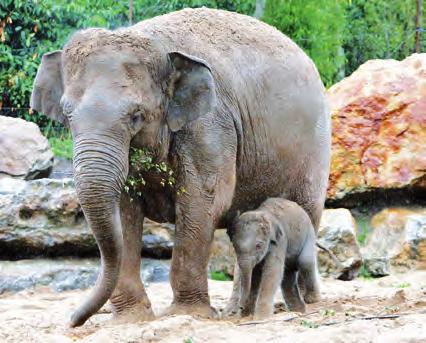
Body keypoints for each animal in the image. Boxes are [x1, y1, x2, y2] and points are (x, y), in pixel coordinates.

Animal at [30, 8, 330, 328]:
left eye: (137, 115)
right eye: (67, 114)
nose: (72, 321)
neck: (158, 45)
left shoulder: (210, 126)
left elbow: (202, 201)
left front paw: (187, 314)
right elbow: (124, 210)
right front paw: (132, 318)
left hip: (315, 149)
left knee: (305, 213)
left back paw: (302, 303)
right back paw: (237, 311)